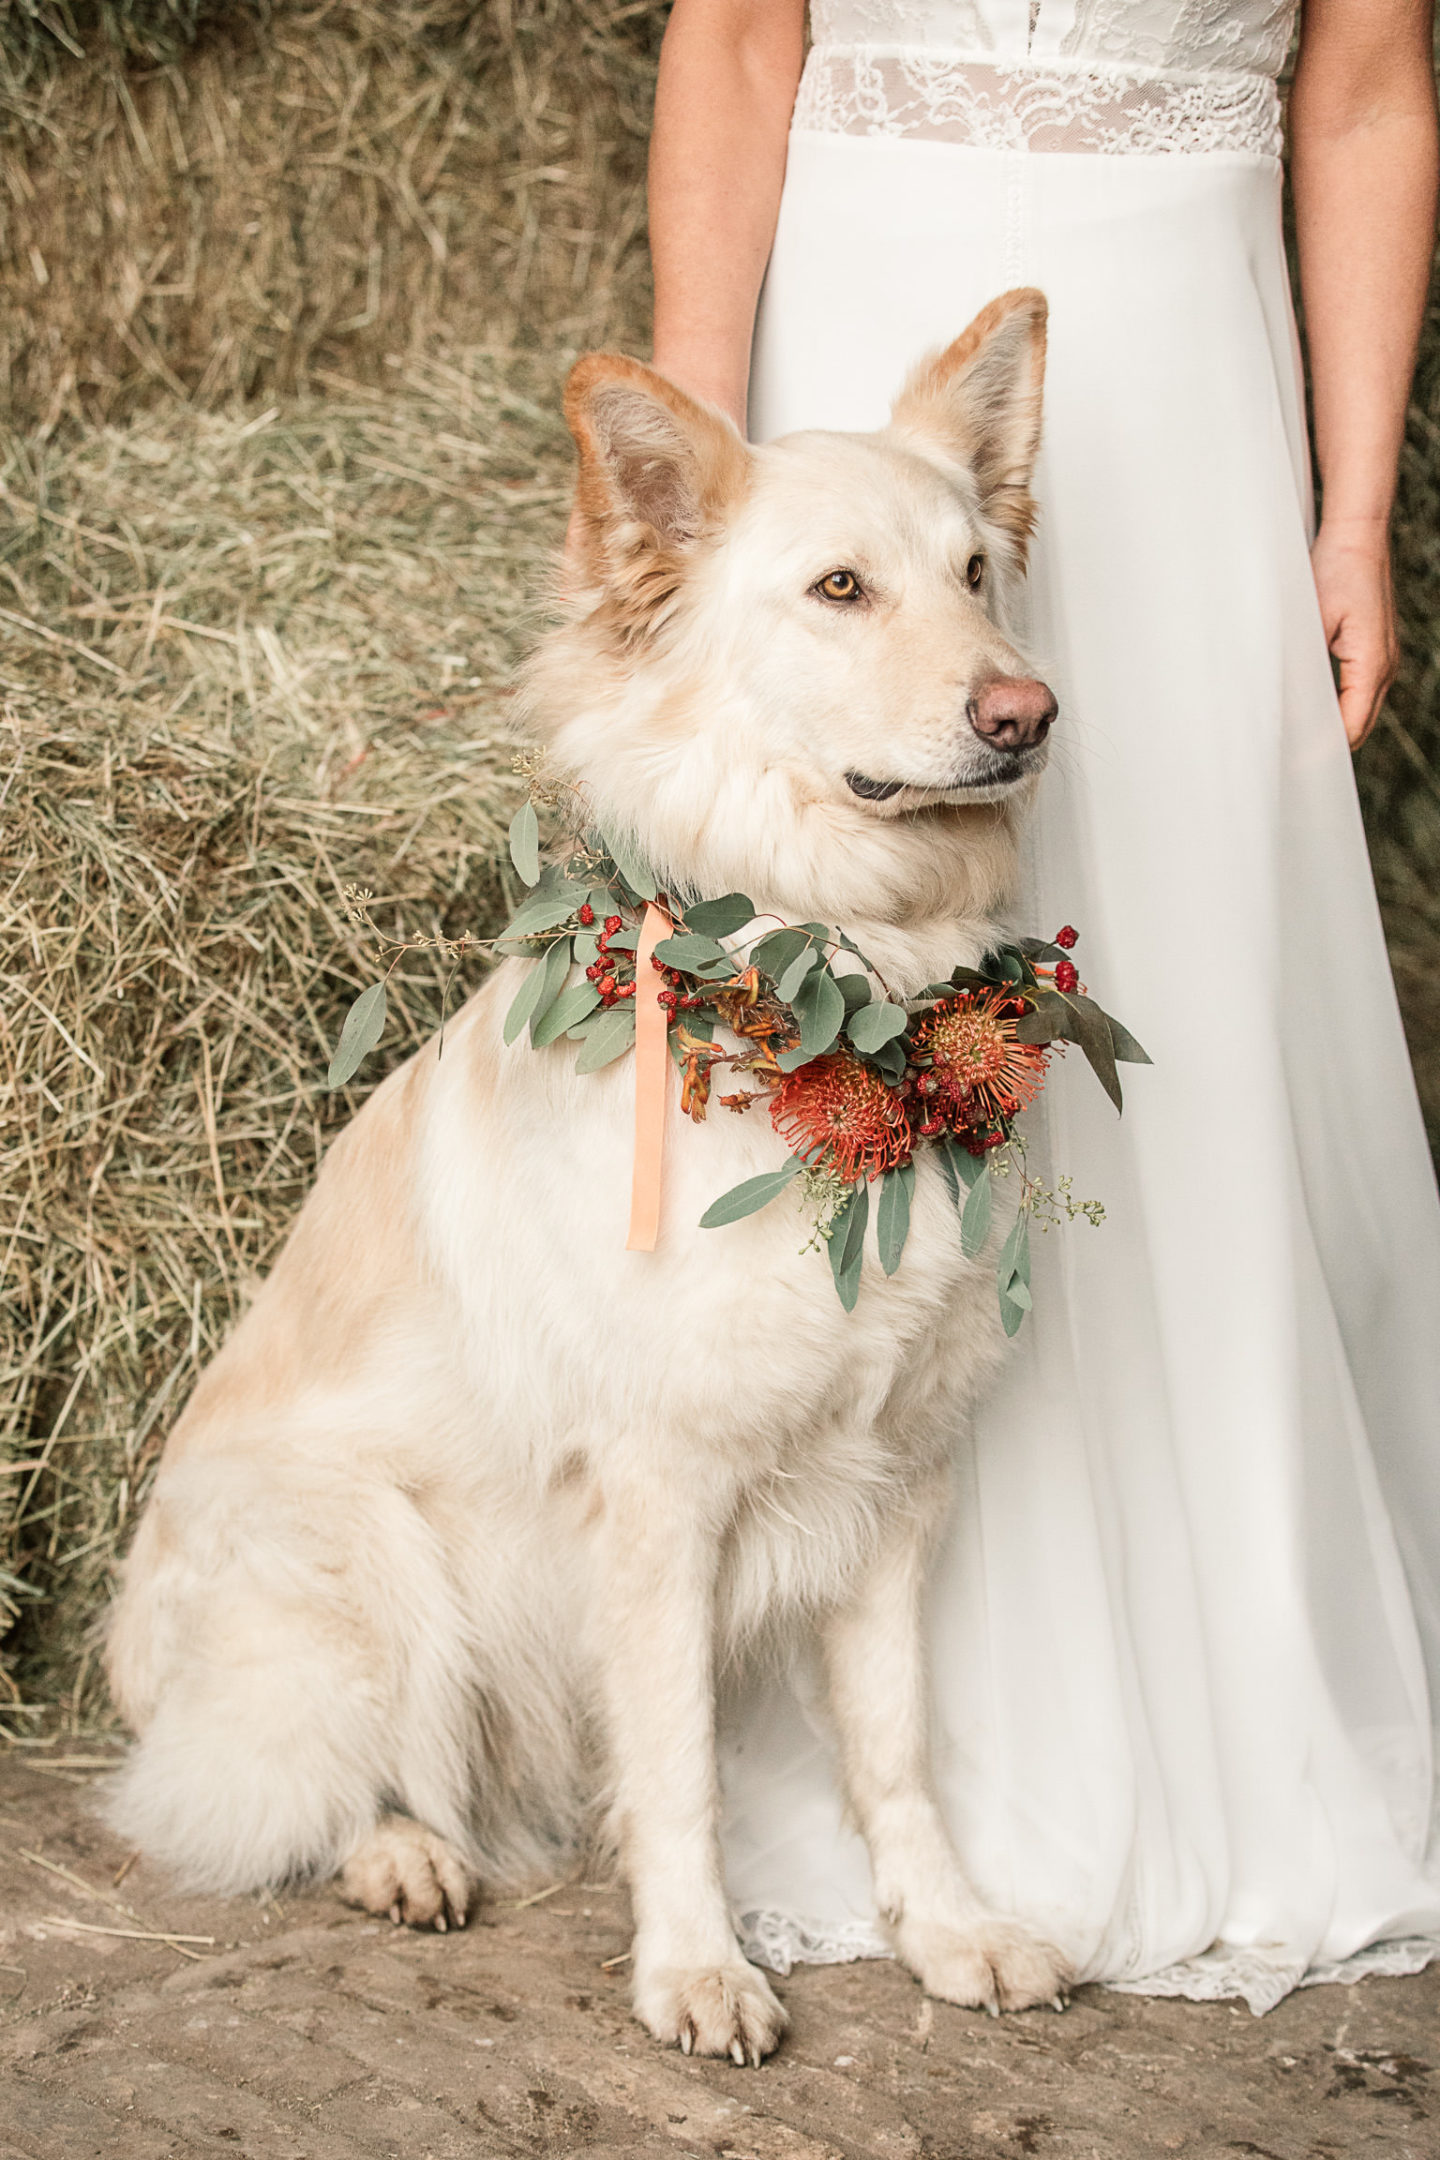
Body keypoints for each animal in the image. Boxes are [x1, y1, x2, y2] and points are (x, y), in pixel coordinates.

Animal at [106, 287, 1070, 2056]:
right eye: (840, 589)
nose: (1024, 716)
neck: (835, 1011)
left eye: (977, 572)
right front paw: (696, 1965)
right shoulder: (659, 1497)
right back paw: (400, 1855)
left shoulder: (895, 1485)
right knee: (283, 1788)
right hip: (366, 1550)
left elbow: (897, 1746)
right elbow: (681, 1765)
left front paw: (947, 1931)